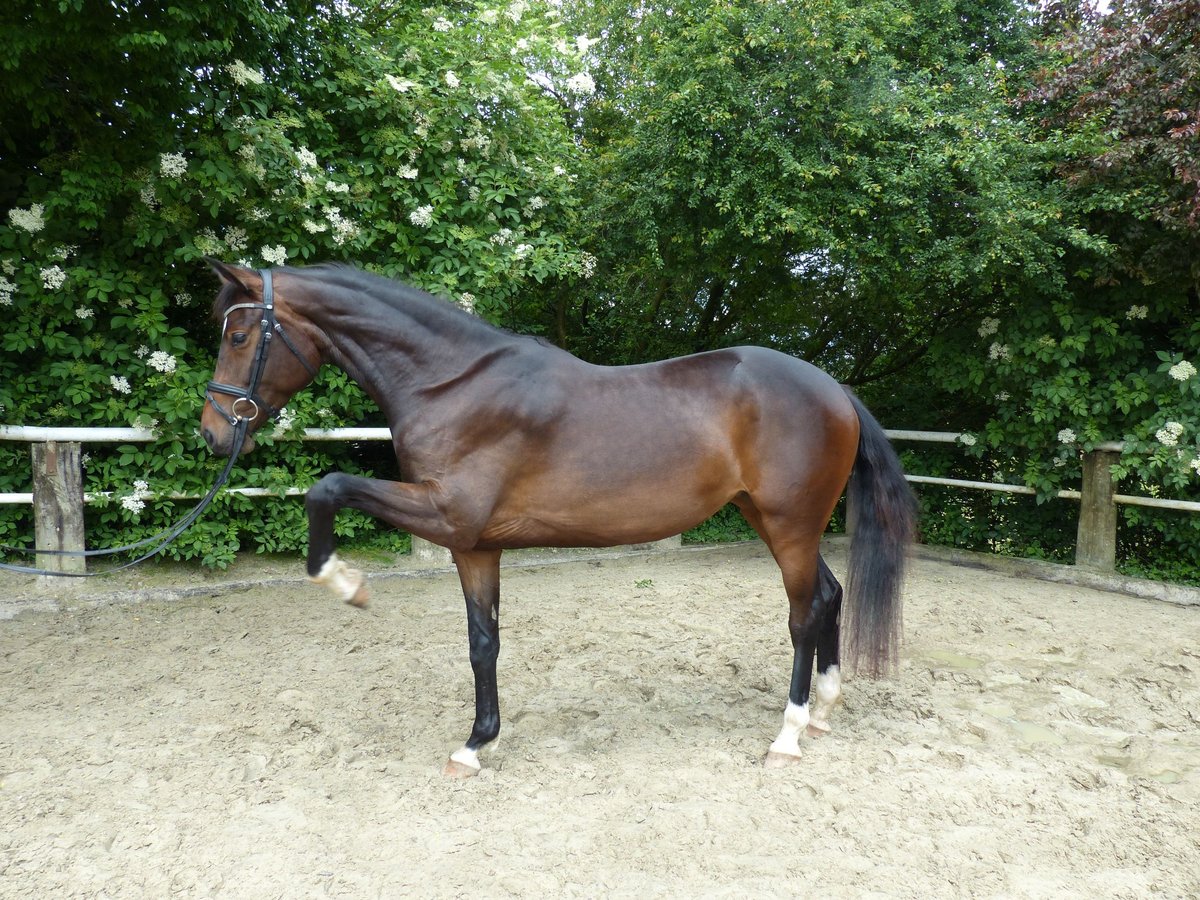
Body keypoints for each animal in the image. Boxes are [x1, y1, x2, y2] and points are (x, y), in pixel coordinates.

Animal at [201, 260, 912, 777]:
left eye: (238, 336)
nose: (213, 432)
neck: (452, 385)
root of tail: (834, 388)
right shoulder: (474, 546)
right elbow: (483, 643)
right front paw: (476, 745)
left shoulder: (447, 516)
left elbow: (327, 488)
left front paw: (345, 583)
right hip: (772, 521)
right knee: (828, 594)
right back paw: (822, 710)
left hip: (789, 525)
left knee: (803, 613)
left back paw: (788, 735)